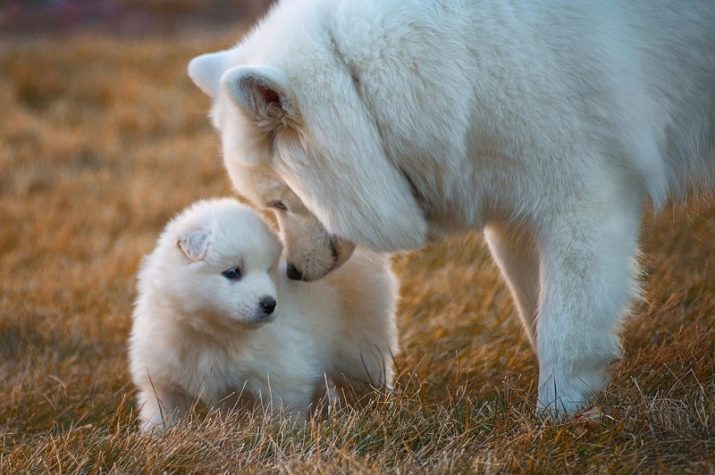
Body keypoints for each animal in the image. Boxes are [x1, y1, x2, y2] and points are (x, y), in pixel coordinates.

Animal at [127, 199, 398, 434]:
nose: (269, 304)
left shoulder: (283, 377)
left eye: (268, 270)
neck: (211, 333)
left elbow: (284, 412)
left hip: (361, 345)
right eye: (233, 272)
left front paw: (284, 437)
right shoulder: (162, 381)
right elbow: (162, 414)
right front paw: (156, 440)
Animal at [187, 0, 712, 416]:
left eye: (279, 202)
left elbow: (566, 324)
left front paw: (558, 414)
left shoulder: (583, 202)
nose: (292, 272)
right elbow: (534, 310)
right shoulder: (514, 211)